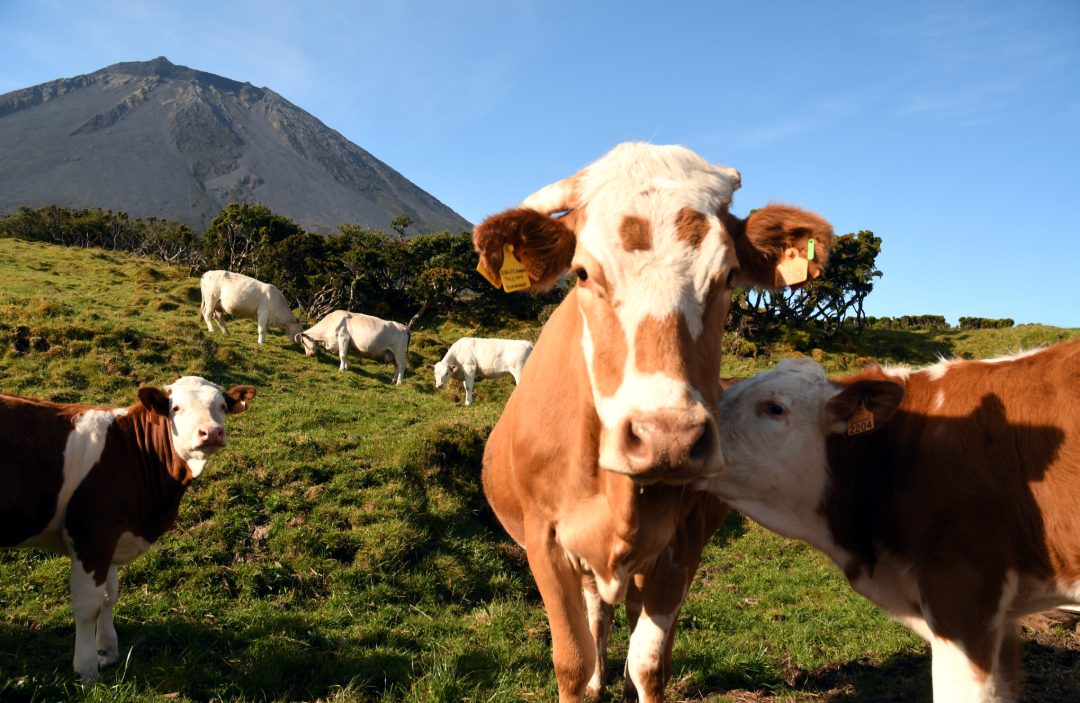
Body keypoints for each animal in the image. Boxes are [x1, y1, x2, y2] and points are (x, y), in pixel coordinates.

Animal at [0, 376, 255, 681]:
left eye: (222, 406)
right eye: (176, 408)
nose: (211, 432)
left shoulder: (112, 536)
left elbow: (109, 596)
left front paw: (107, 652)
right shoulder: (92, 535)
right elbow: (88, 605)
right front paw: (87, 670)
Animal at [473, 142, 834, 702]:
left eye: (728, 276)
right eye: (582, 273)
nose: (668, 439)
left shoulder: (679, 548)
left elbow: (649, 664)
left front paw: (634, 675)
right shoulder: (545, 541)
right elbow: (572, 661)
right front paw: (588, 678)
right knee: (597, 618)